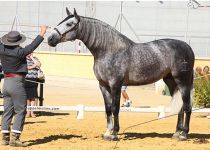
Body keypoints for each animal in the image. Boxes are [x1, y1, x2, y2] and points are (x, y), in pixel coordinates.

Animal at [47, 8, 195, 141]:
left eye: (69, 24)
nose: (50, 39)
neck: (108, 50)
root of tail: (188, 47)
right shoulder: (103, 86)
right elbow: (107, 109)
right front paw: (107, 133)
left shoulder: (115, 85)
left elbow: (115, 108)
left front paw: (114, 134)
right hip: (171, 82)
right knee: (180, 106)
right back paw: (176, 133)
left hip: (183, 81)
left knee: (187, 106)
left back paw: (184, 134)